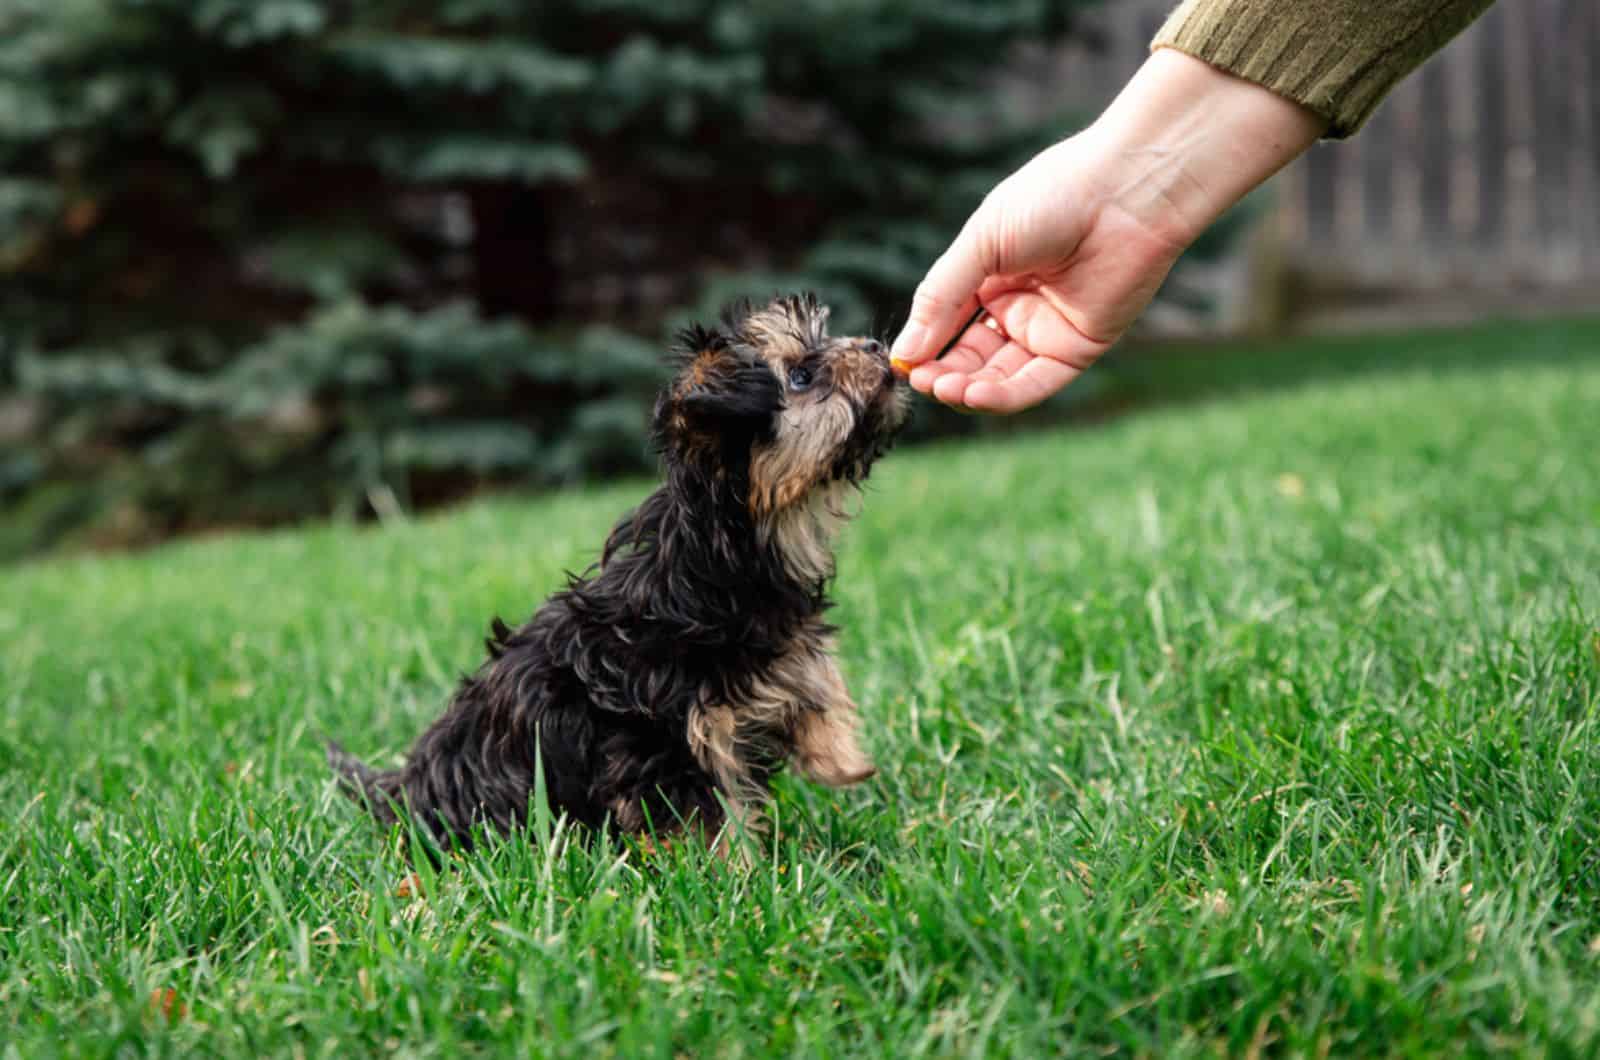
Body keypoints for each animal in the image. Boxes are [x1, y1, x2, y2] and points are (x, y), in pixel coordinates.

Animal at [331, 293, 908, 858]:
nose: (877, 346)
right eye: (801, 376)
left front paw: (840, 757)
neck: (719, 560)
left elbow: (813, 683)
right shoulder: (662, 739)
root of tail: (403, 791)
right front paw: (735, 874)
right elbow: (709, 815)